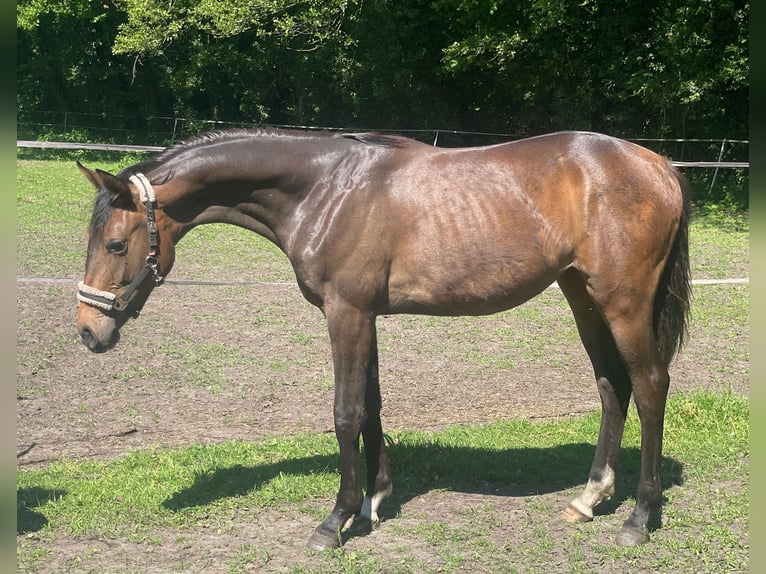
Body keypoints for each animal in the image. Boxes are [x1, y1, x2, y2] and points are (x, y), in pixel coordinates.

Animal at [75, 128, 692, 552]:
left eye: (114, 244)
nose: (87, 330)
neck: (325, 190)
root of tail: (656, 164)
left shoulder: (345, 313)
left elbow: (346, 412)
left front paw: (336, 520)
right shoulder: (364, 315)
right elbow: (371, 406)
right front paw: (375, 499)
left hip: (622, 302)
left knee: (649, 386)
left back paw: (639, 517)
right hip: (582, 295)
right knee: (612, 385)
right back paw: (589, 499)